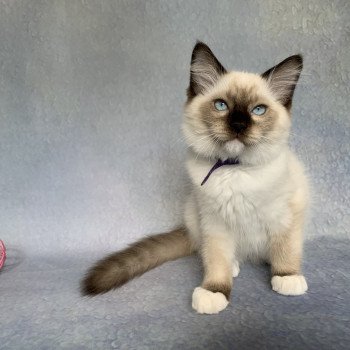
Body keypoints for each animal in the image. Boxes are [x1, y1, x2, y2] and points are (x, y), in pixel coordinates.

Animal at [82, 41, 308, 314]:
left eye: (258, 110)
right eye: (221, 106)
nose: (239, 125)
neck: (234, 169)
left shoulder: (286, 216)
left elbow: (285, 250)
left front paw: (286, 277)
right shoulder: (215, 223)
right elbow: (217, 260)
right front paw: (214, 292)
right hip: (195, 215)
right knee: (212, 252)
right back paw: (233, 266)